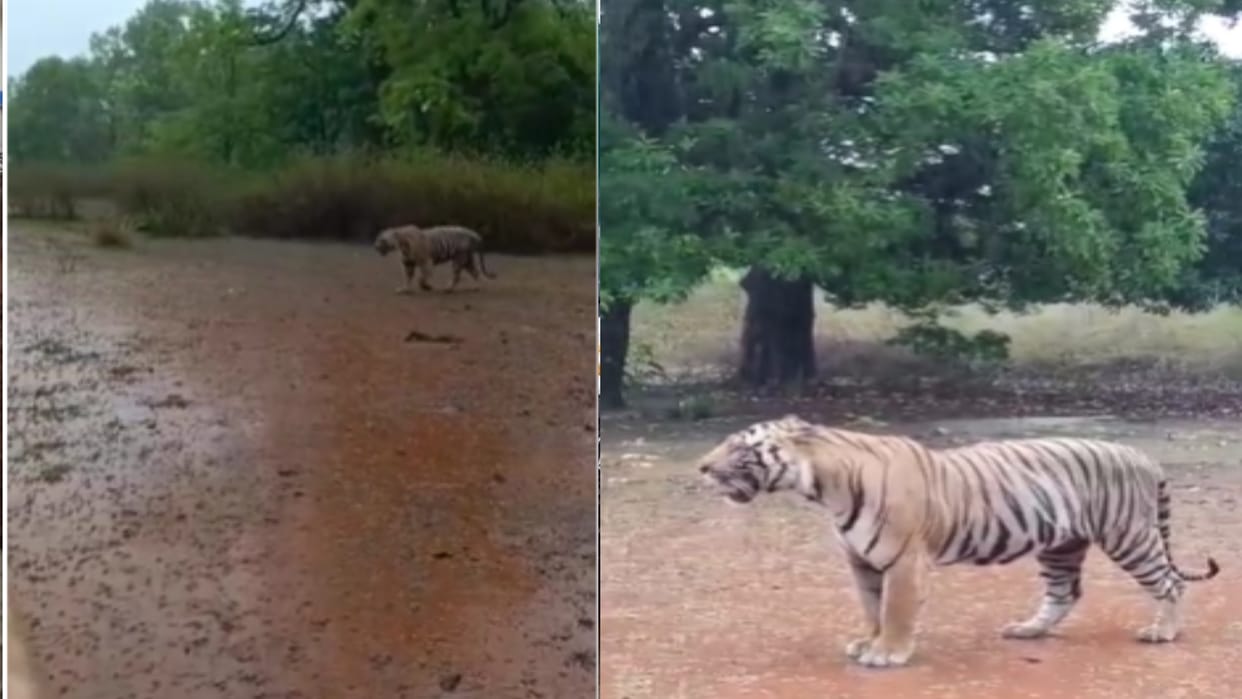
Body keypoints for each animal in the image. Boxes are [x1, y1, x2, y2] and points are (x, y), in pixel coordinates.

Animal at [696, 414, 1219, 669]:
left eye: (739, 447)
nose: (701, 466)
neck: (824, 487)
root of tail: (1140, 453)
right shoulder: (862, 563)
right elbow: (871, 607)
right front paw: (867, 642)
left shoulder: (904, 560)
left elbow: (896, 611)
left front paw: (887, 653)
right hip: (1061, 545)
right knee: (1064, 593)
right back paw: (1029, 630)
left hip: (1129, 536)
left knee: (1171, 583)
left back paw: (1162, 632)